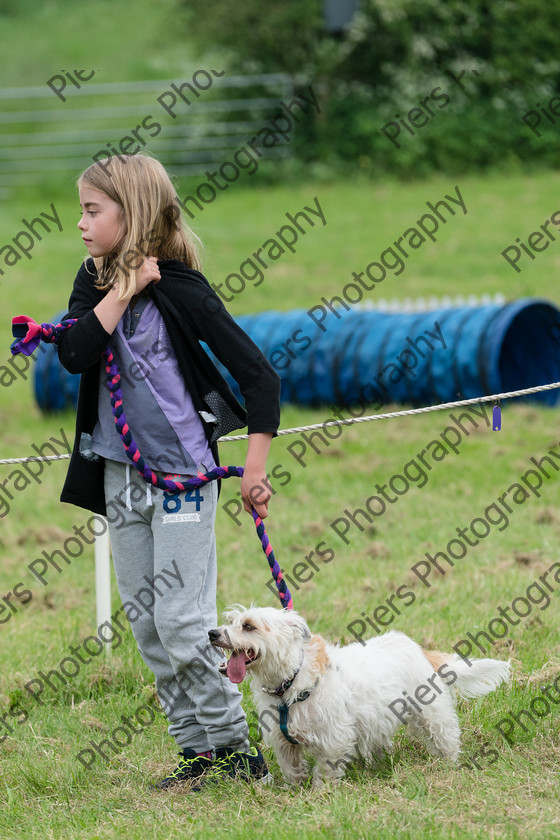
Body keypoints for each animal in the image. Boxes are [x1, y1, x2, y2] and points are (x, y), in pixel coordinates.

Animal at [208, 608, 510, 784]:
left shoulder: (334, 738)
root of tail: (419, 649)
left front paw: (320, 794)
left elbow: (326, 770)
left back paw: (449, 765)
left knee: (446, 739)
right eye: (230, 622)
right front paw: (295, 791)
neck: (290, 683)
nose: (212, 633)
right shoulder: (284, 743)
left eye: (248, 626)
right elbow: (292, 769)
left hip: (432, 715)